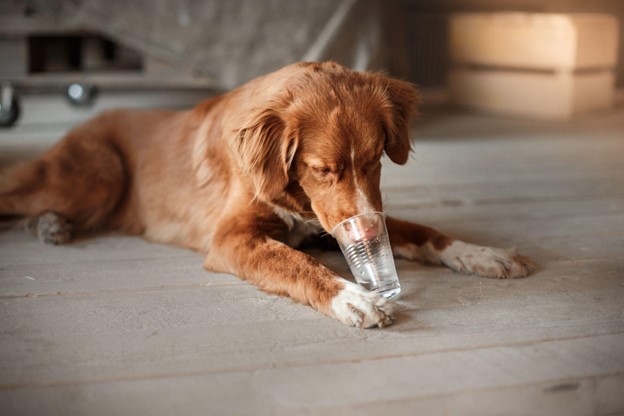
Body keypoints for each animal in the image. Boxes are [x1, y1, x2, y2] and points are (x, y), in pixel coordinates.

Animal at [0, 61, 532, 328]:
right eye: (322, 169)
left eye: (375, 159)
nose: (363, 235)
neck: (291, 190)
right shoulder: (231, 238)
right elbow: (294, 262)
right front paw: (351, 296)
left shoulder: (342, 220)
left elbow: (422, 230)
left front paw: (479, 253)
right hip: (97, 175)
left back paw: (52, 225)